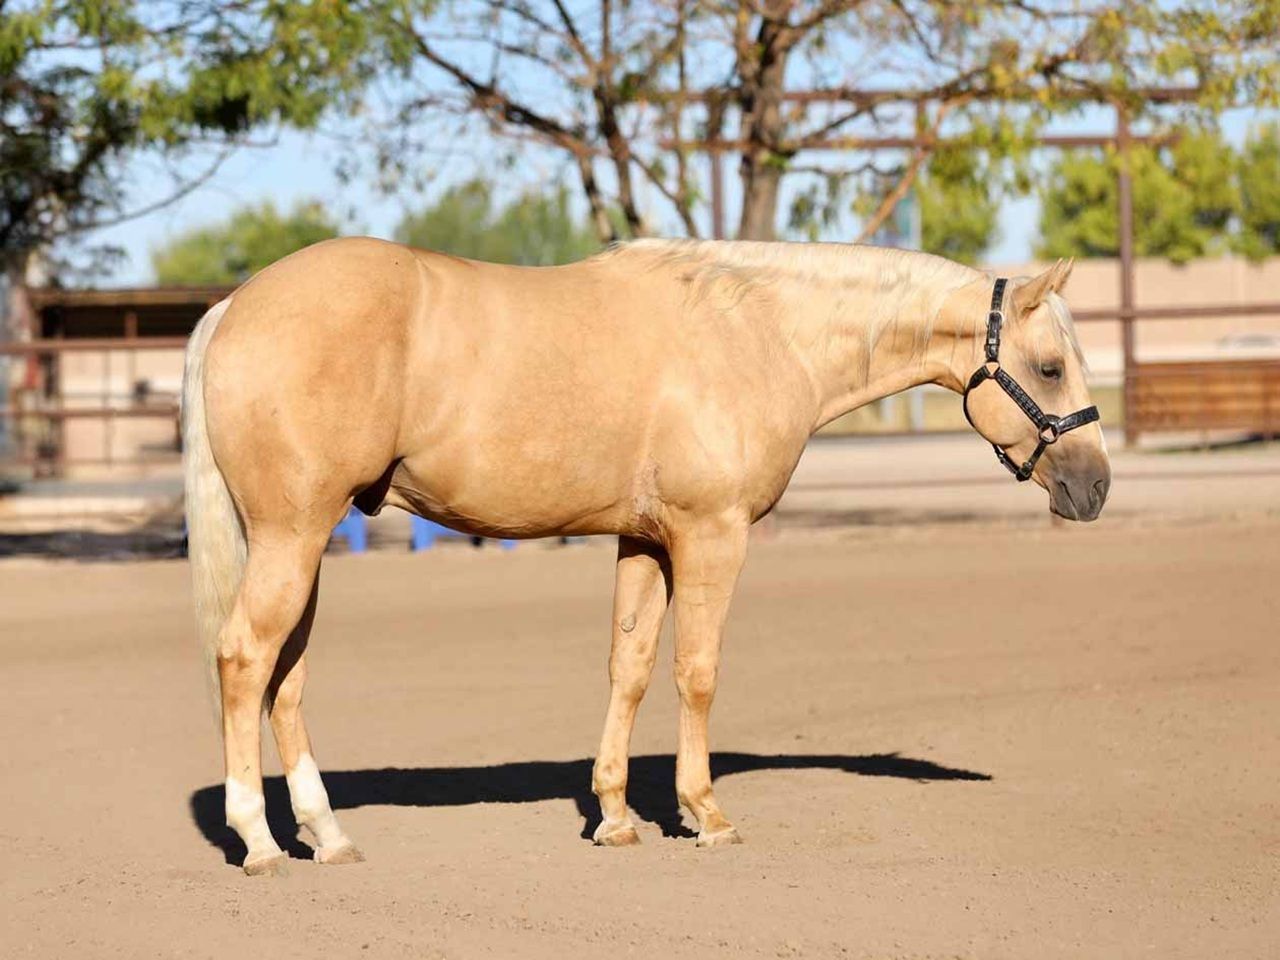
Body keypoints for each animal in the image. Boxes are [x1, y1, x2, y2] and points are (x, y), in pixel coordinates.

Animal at [182, 237, 1110, 875]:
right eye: (1049, 367)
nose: (1094, 487)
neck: (755, 331)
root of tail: (235, 307)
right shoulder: (712, 534)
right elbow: (696, 671)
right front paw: (707, 815)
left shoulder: (644, 540)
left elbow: (627, 668)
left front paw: (617, 817)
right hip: (293, 535)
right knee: (244, 660)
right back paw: (260, 841)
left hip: (303, 544)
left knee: (286, 677)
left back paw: (327, 834)